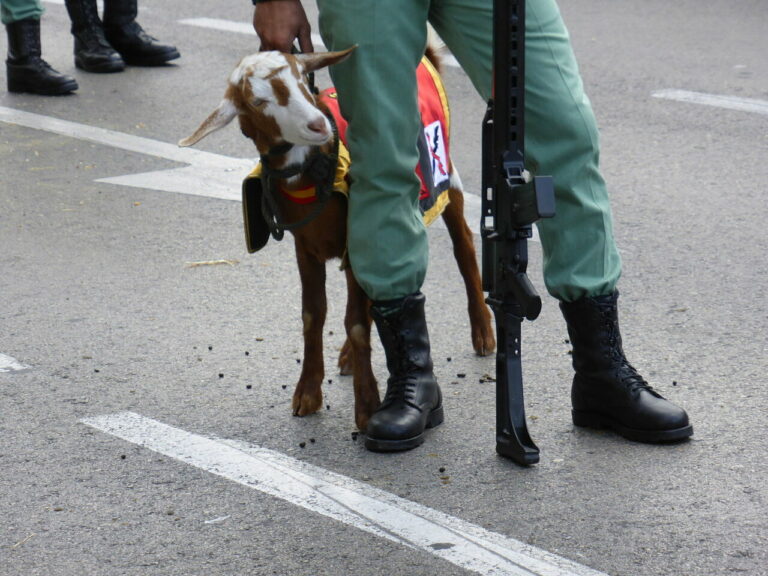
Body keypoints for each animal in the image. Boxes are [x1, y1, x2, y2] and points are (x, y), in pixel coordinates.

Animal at [177, 46, 496, 432]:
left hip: (446, 175)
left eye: (304, 80)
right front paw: (308, 393)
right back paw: (347, 357)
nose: (318, 125)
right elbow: (314, 314)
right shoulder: (306, 247)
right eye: (256, 101)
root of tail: (426, 57)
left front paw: (368, 406)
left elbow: (356, 322)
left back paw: (483, 331)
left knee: (464, 245)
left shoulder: (358, 239)